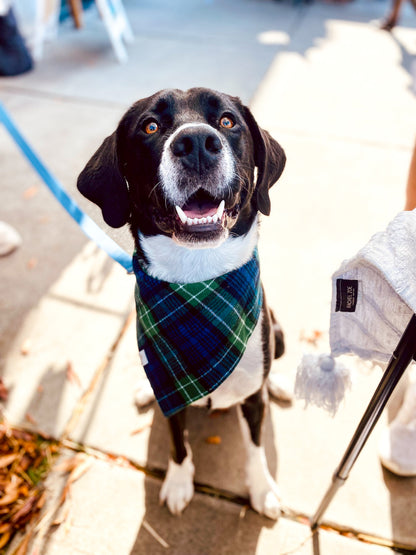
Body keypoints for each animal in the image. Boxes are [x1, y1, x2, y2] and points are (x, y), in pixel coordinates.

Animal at [77, 88, 286, 520]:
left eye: (227, 121)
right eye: (150, 126)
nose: (197, 144)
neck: (199, 280)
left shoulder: (252, 400)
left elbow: (255, 447)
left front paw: (262, 489)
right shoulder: (171, 393)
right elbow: (177, 441)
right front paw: (177, 481)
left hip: (278, 329)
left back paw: (277, 381)